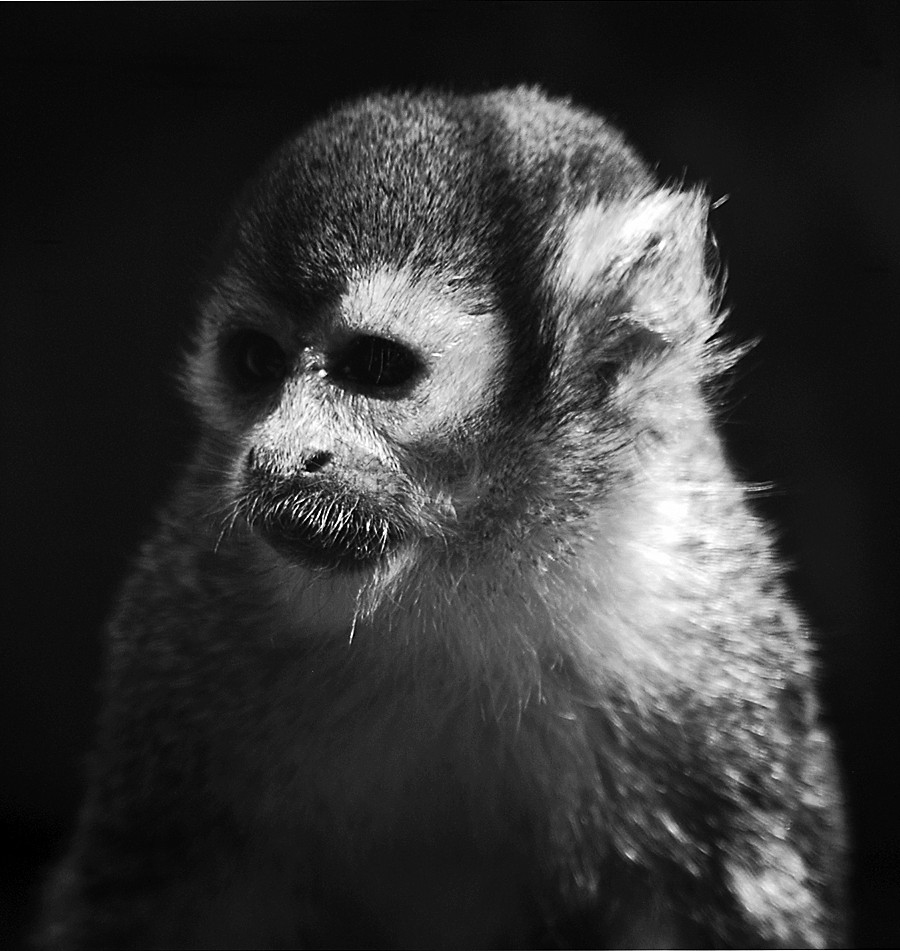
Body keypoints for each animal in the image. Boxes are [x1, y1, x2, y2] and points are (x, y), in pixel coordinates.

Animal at [39, 88, 847, 950]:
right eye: (256, 362)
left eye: (376, 368)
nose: (281, 455)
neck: (469, 569)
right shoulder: (182, 608)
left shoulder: (705, 646)